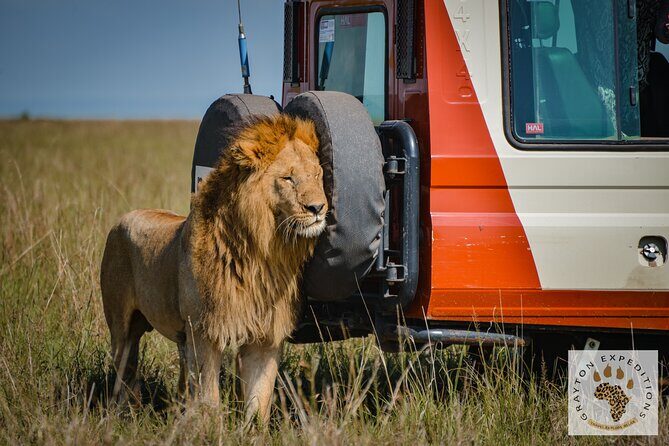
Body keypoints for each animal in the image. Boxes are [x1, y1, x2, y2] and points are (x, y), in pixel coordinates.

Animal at [100, 114, 327, 422]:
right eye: (288, 178)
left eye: (317, 175)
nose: (318, 208)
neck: (262, 254)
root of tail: (123, 218)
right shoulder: (204, 331)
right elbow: (209, 397)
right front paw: (208, 427)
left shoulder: (265, 337)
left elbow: (260, 398)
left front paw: (251, 429)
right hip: (120, 326)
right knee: (125, 371)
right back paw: (126, 414)